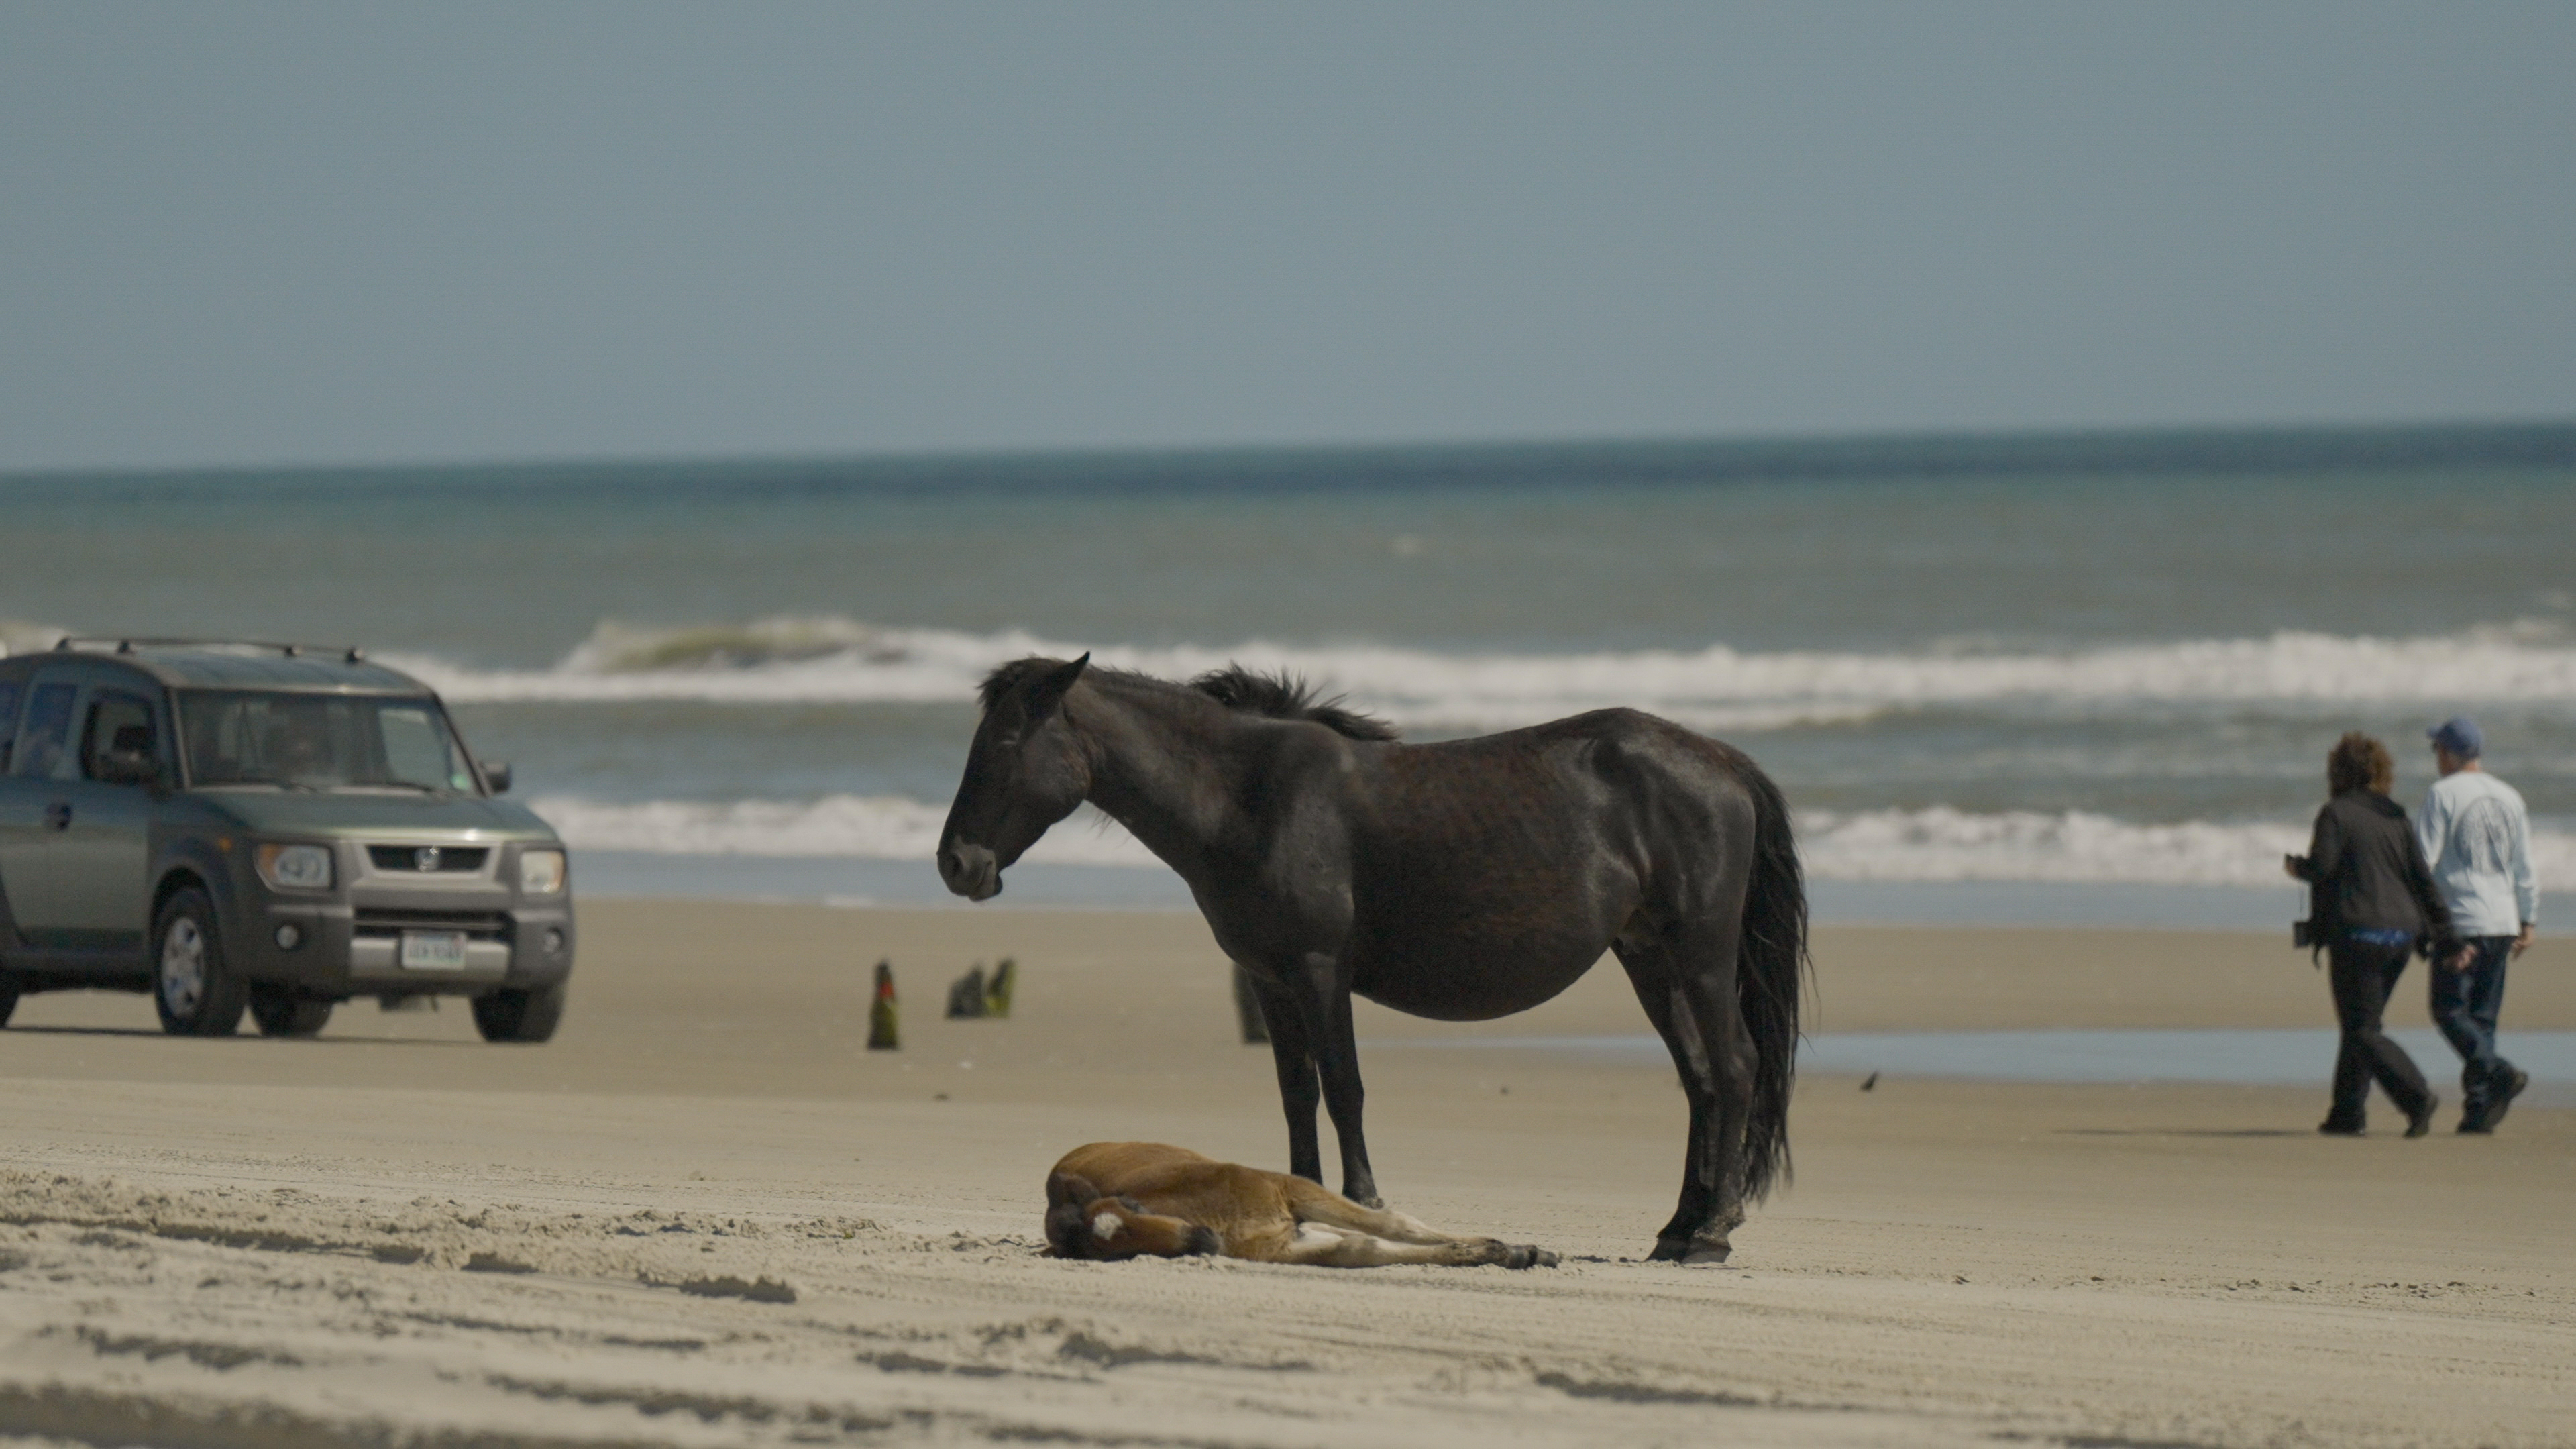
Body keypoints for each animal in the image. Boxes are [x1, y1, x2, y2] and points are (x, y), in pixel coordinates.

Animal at [937, 655, 1806, 1264]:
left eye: (1008, 740)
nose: (957, 864)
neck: (1248, 799)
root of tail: (1722, 761)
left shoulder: (1321, 969)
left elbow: (1344, 1088)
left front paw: (1362, 1193)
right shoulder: (1270, 980)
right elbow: (1297, 1094)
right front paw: (1304, 1189)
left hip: (1700, 953)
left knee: (1734, 1067)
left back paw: (1711, 1233)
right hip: (1648, 957)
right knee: (1701, 1079)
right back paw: (1676, 1228)